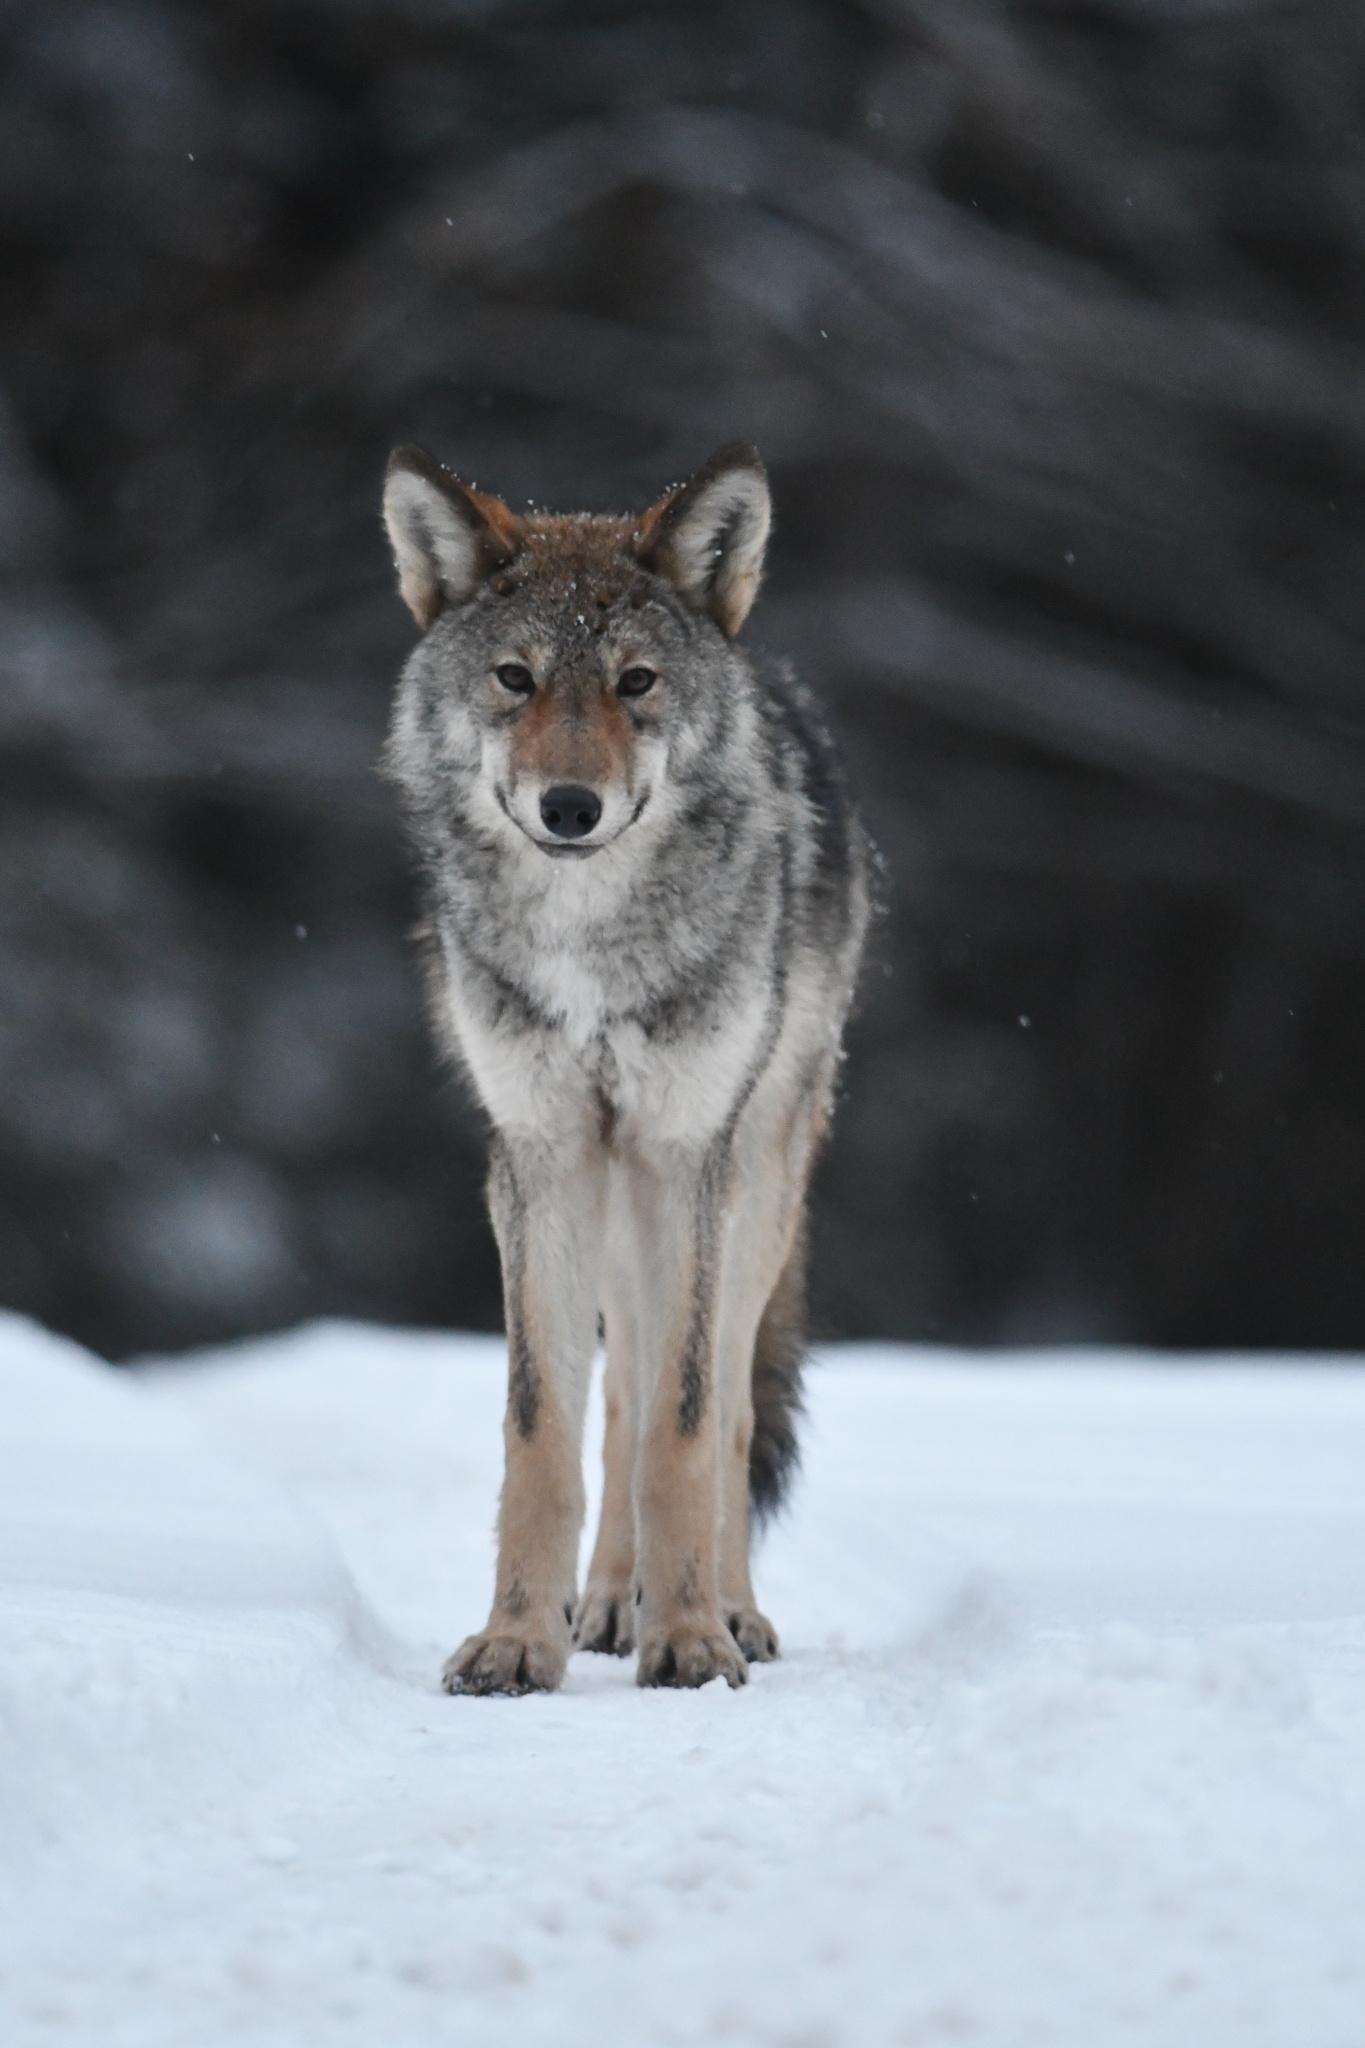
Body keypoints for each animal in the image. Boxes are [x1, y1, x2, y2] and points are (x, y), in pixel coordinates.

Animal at [381, 441, 870, 1692]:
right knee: (617, 1391)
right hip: (613, 1201)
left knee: (721, 1402)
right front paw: (518, 1638)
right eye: (515, 678)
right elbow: (545, 1427)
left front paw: (692, 1636)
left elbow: (688, 1422)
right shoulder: (539, 1158)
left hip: (746, 1186)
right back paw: (605, 1603)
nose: (569, 805)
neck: (588, 944)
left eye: (637, 682)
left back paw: (728, 1610)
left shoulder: (688, 1151)